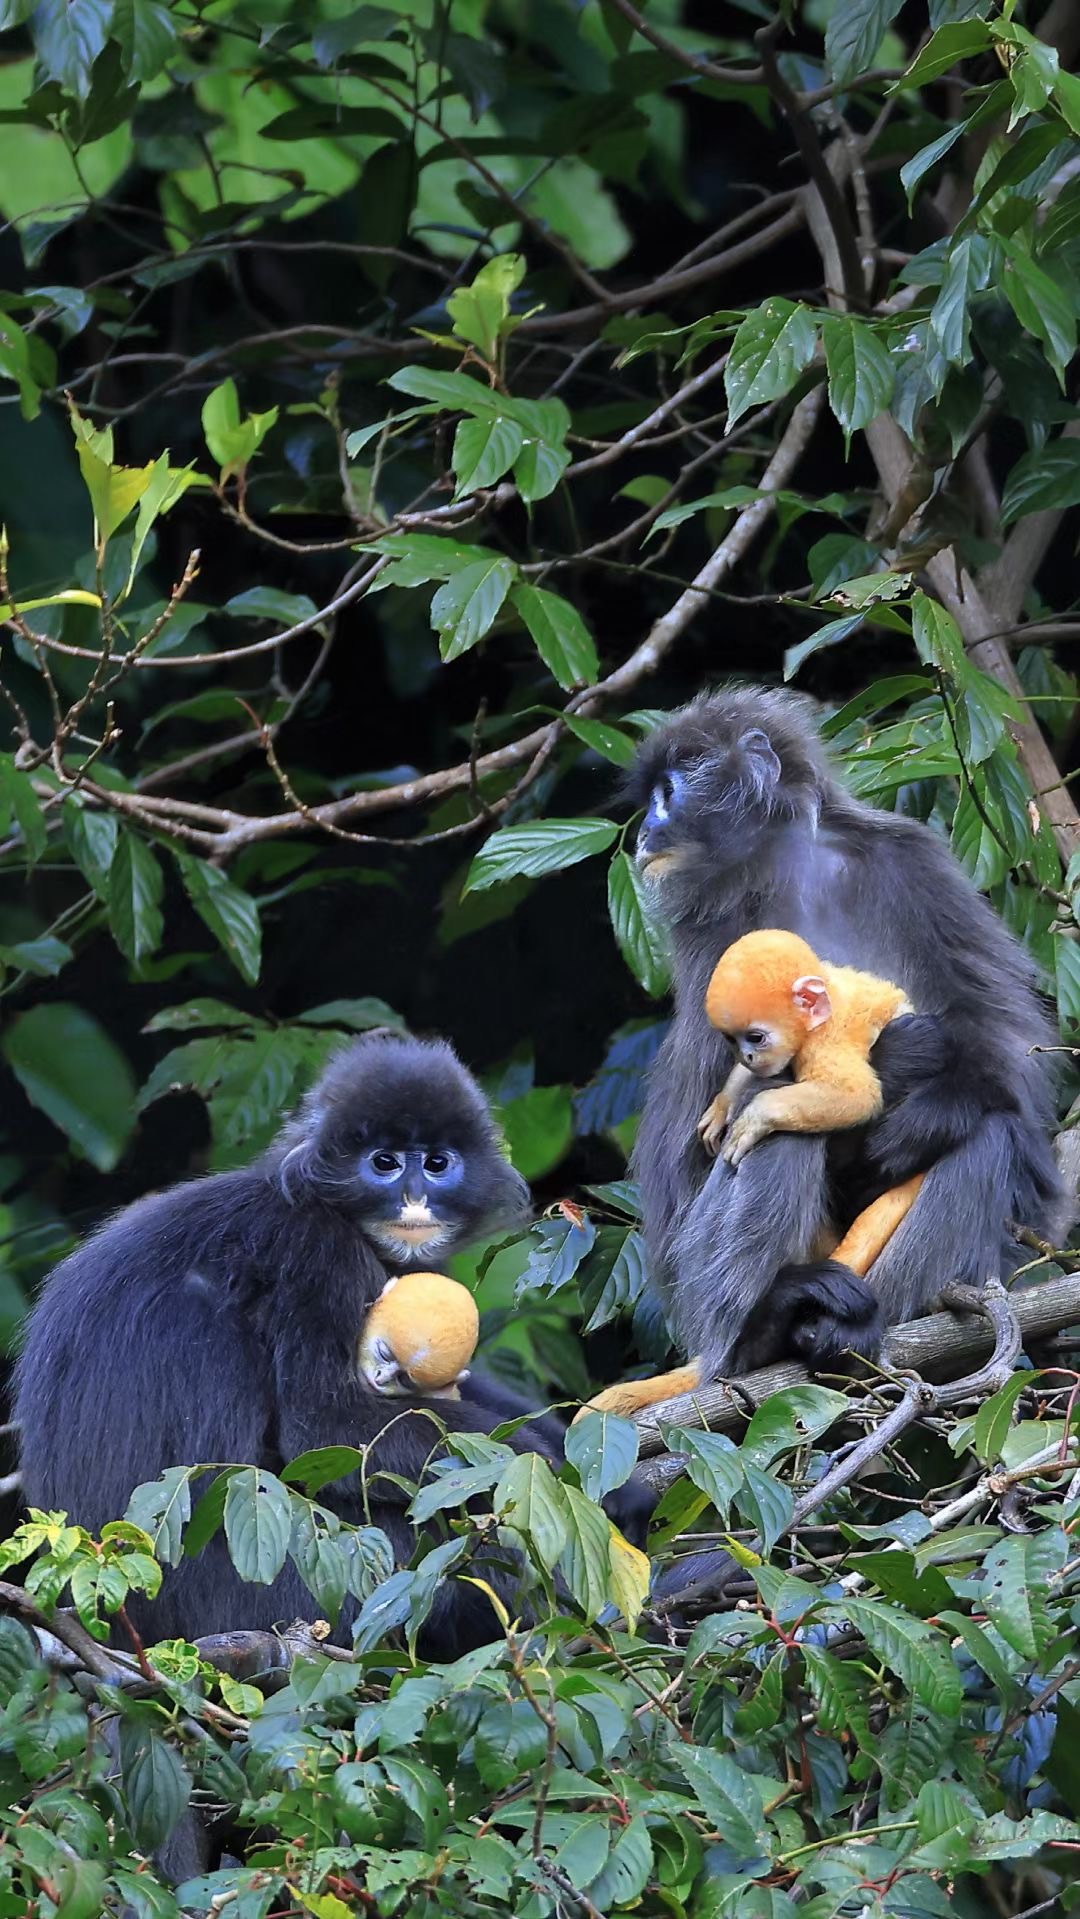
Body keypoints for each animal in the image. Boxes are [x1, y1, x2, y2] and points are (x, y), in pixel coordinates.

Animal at [13, 1033, 653, 1659]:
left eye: (437, 1164)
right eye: (384, 1163)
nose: (414, 1198)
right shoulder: (316, 1253)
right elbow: (323, 1426)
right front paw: (549, 1470)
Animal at [616, 685, 1066, 1387]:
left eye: (670, 791)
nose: (644, 832)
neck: (793, 866)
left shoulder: (908, 857)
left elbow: (1000, 1028)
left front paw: (928, 1117)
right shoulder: (712, 934)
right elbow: (703, 1125)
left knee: (989, 1129)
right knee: (773, 1130)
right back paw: (760, 1329)